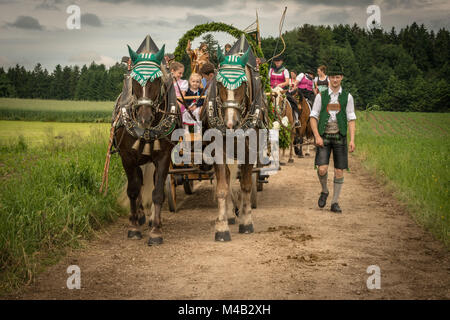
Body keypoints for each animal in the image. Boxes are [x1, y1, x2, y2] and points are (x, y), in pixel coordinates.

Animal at [113, 40, 180, 245]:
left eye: (156, 81)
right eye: (134, 81)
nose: (144, 118)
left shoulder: (163, 156)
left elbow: (158, 192)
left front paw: (156, 230)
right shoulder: (127, 157)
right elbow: (133, 190)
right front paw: (134, 227)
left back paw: (150, 219)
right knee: (138, 182)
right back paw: (139, 216)